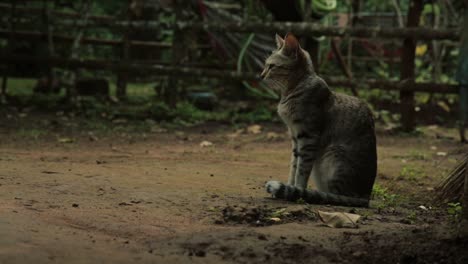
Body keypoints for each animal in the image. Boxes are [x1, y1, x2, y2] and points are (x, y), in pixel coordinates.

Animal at [262, 33, 378, 206]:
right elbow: (293, 167)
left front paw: (297, 191)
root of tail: (366, 196)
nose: (260, 75)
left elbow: (301, 171)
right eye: (265, 65)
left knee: (337, 196)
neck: (292, 89)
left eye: (272, 66)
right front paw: (290, 187)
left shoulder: (308, 137)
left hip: (334, 155)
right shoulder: (295, 138)